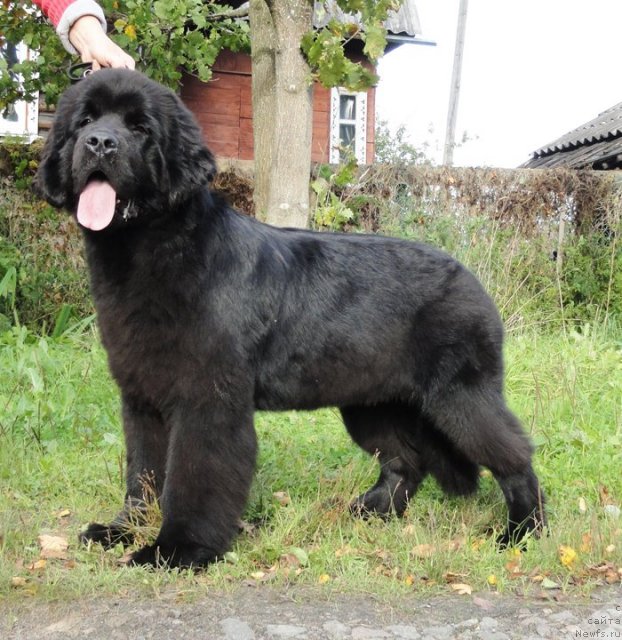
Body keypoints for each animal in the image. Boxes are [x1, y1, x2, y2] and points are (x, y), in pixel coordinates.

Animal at [36, 69, 548, 568]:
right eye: (85, 121)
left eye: (140, 128)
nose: (101, 143)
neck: (155, 248)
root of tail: (470, 279)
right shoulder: (142, 397)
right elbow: (143, 473)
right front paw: (123, 531)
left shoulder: (207, 399)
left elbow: (192, 477)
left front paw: (179, 550)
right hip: (371, 402)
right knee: (407, 460)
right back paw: (368, 512)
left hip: (459, 396)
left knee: (514, 454)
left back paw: (522, 532)